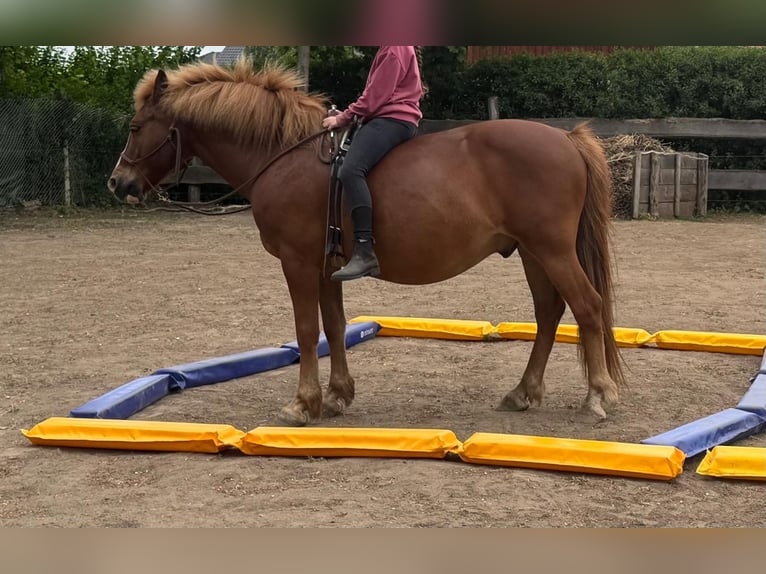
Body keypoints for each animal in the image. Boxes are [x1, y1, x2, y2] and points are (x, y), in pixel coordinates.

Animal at [107, 58, 626, 426]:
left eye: (135, 127)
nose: (117, 183)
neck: (283, 155)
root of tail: (565, 137)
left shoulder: (297, 262)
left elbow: (305, 329)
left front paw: (303, 403)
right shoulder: (326, 266)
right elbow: (333, 327)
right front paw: (337, 396)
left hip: (552, 250)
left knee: (587, 306)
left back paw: (599, 395)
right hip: (534, 254)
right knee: (549, 313)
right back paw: (524, 392)